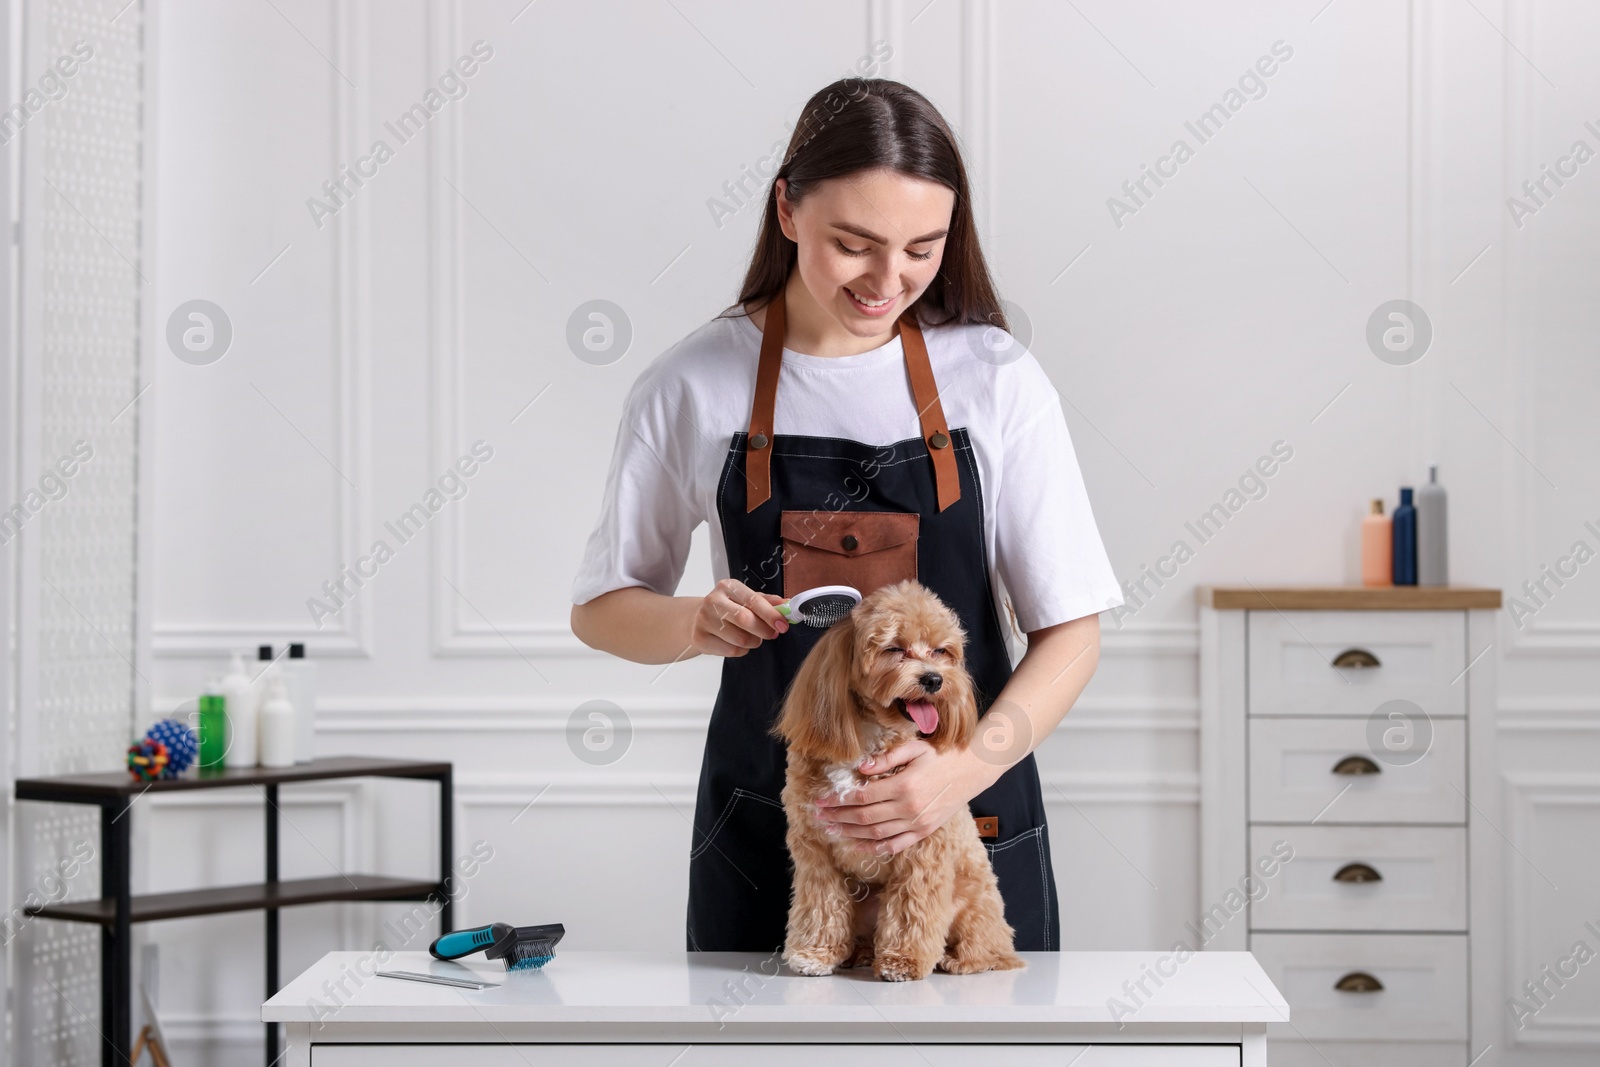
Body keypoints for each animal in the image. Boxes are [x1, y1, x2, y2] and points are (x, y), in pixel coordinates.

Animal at [771, 579, 1024, 979]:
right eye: (893, 649)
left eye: (940, 651)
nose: (934, 679)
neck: (870, 737)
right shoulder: (815, 852)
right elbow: (820, 907)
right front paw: (814, 953)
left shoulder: (921, 852)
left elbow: (911, 910)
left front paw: (903, 960)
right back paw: (859, 953)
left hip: (973, 901)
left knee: (991, 948)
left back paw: (961, 959)